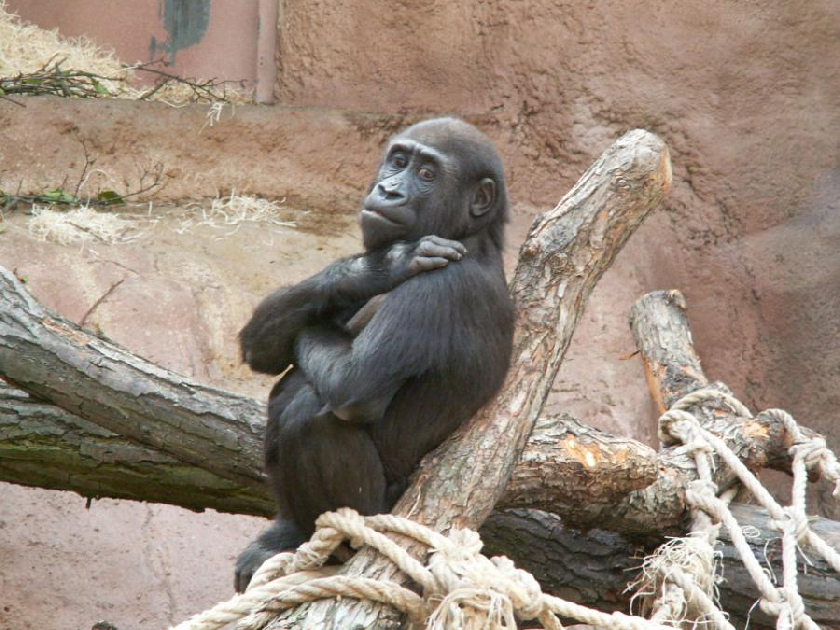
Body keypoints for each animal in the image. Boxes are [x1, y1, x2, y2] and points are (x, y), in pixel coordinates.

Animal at [233, 117, 516, 592]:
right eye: (398, 161)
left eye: (427, 174)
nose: (389, 190)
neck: (473, 237)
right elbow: (263, 348)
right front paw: (383, 266)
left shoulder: (440, 289)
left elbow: (354, 385)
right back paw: (289, 533)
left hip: (383, 511)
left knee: (312, 410)